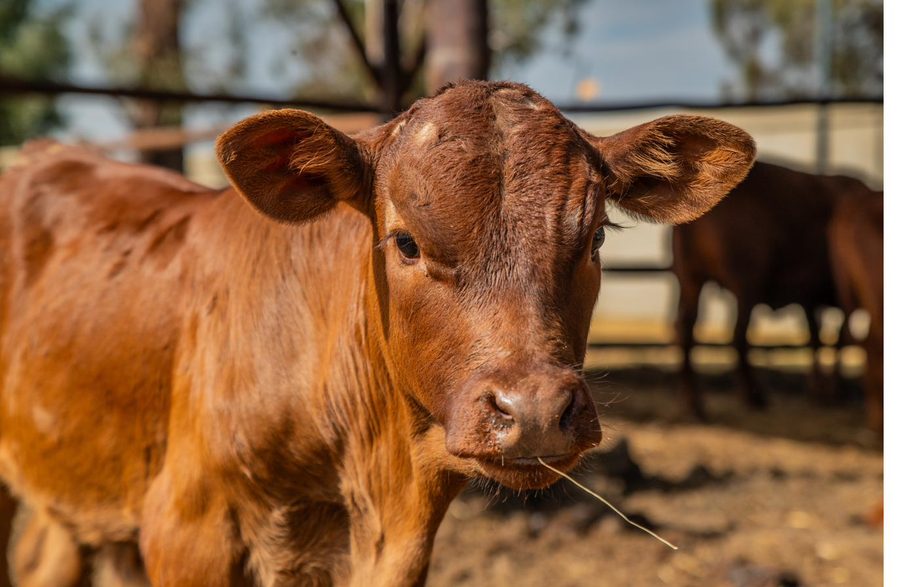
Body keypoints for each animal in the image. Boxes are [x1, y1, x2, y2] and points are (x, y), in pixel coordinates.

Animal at [672, 160, 874, 419]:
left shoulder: (808, 299)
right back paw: (753, 396)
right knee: (738, 335)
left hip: (690, 279)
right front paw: (835, 391)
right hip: (745, 285)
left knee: (686, 329)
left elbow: (815, 338)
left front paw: (818, 390)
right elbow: (839, 338)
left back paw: (693, 402)